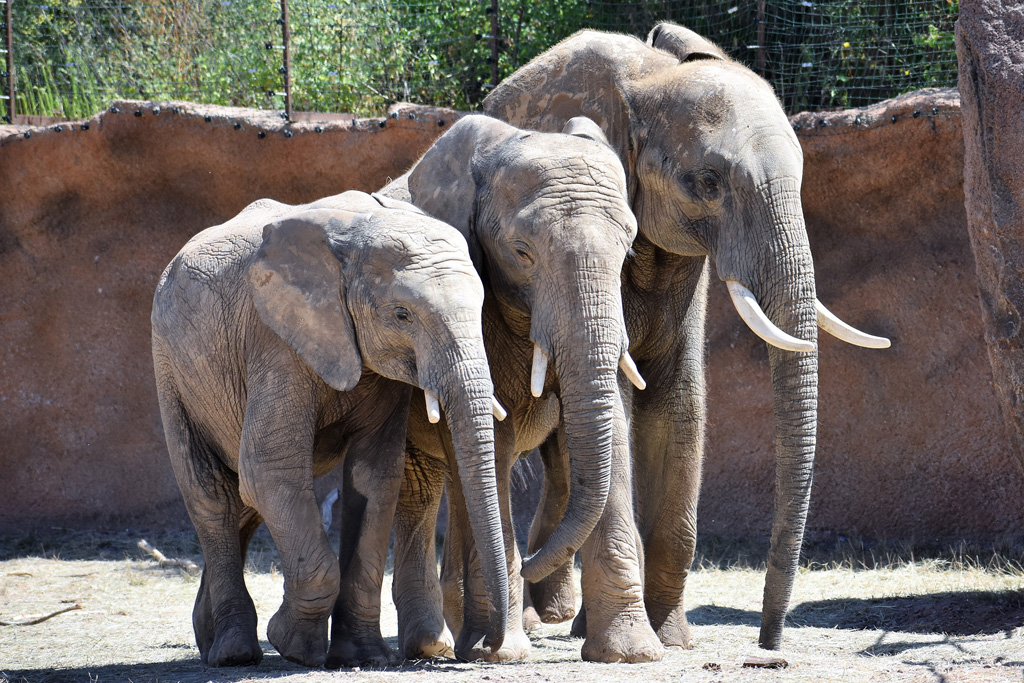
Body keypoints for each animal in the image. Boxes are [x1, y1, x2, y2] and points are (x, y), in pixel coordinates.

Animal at [372, 116, 651, 663]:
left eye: (628, 250)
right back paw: (442, 644)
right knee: (423, 488)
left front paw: (631, 653)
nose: (532, 559)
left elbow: (611, 433)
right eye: (522, 254)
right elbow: (495, 446)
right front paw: (502, 652)